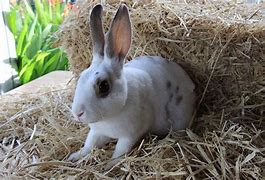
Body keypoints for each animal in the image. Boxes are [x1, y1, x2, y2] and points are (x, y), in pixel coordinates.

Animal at [67, 3, 196, 168]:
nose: (78, 114)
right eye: (81, 77)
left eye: (104, 86)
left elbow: (119, 152)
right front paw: (74, 157)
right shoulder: (96, 132)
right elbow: (89, 145)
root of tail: (191, 85)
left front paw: (109, 166)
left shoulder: (129, 136)